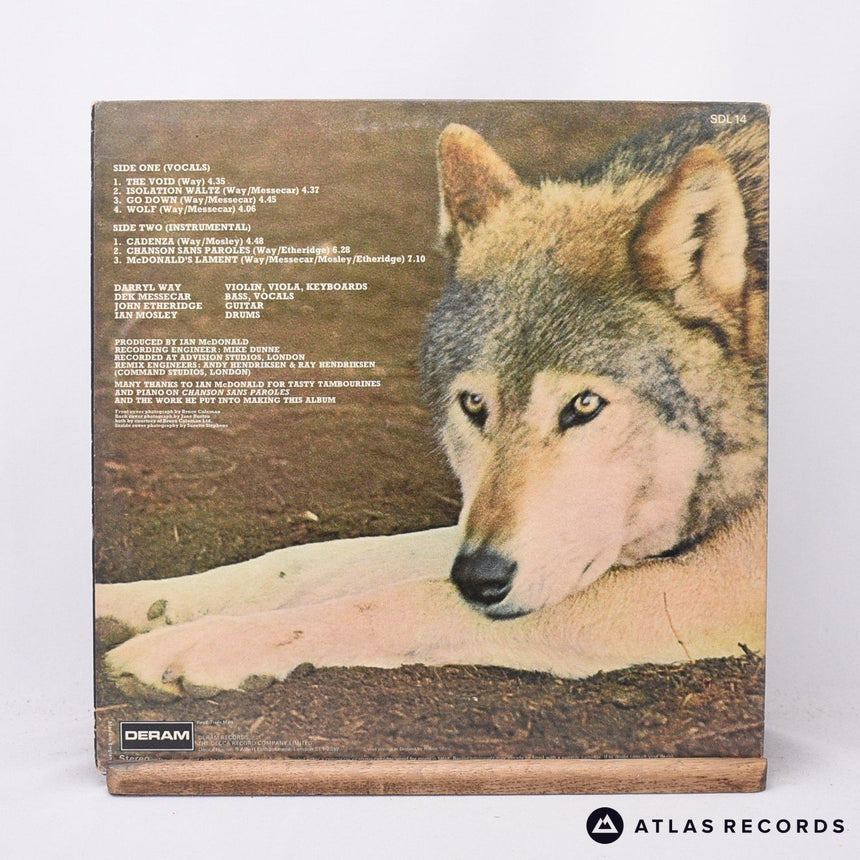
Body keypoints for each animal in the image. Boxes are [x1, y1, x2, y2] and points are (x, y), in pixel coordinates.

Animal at [96, 107, 768, 699]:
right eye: (473, 404)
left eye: (582, 406)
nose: (480, 578)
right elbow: (306, 561)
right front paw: (124, 602)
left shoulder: (709, 585)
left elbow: (398, 601)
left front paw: (200, 646)